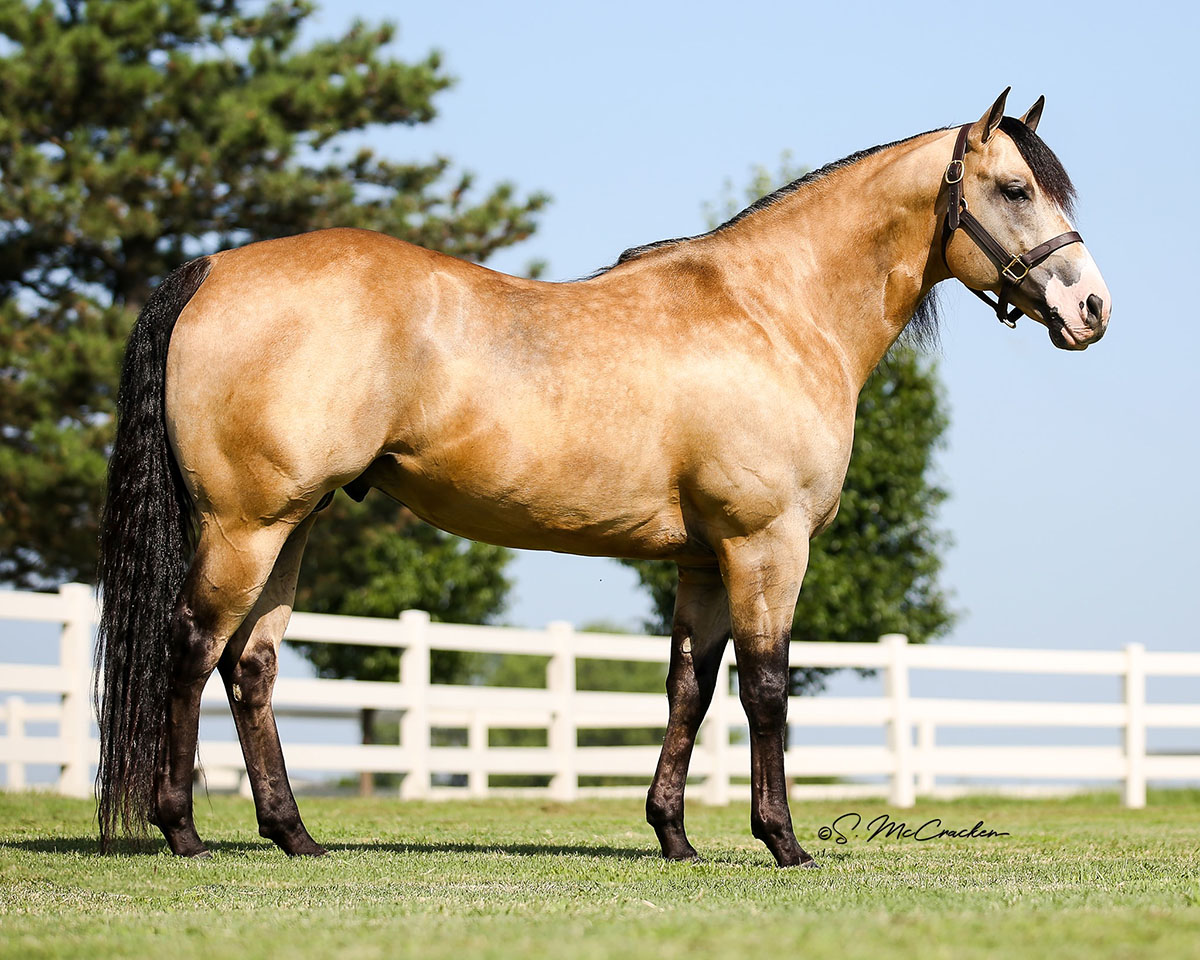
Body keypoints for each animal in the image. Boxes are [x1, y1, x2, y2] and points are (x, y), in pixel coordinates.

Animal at [98, 90, 1108, 864]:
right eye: (1015, 188)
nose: (1092, 307)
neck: (775, 311)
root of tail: (211, 269)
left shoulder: (704, 560)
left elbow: (689, 689)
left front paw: (674, 837)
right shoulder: (765, 545)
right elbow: (766, 689)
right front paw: (782, 842)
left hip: (293, 527)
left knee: (251, 666)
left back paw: (295, 836)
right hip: (246, 525)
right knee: (191, 648)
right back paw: (182, 831)